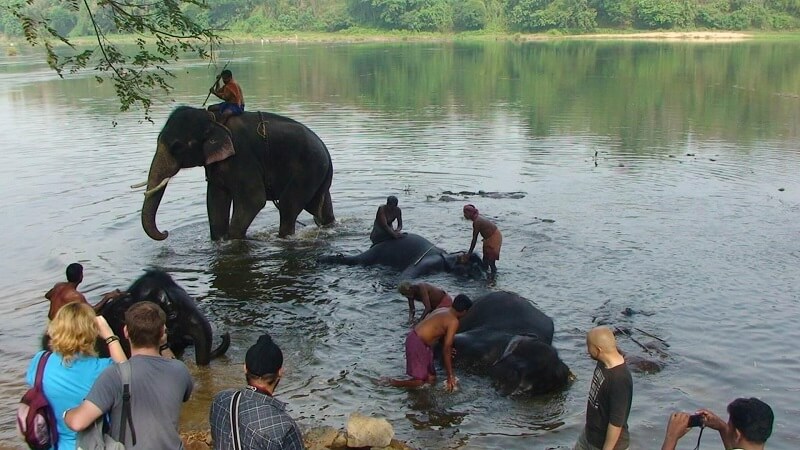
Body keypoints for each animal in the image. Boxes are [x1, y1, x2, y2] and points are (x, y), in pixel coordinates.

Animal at [141, 106, 335, 240]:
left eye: (176, 147)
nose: (165, 232)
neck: (214, 119)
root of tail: (325, 150)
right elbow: (215, 200)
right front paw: (220, 239)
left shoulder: (242, 156)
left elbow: (254, 199)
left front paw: (233, 239)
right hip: (318, 173)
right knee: (320, 207)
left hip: (308, 169)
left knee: (288, 205)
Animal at [319, 233, 486, 279]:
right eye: (474, 268)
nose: (481, 273)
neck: (447, 258)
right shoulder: (428, 262)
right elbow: (408, 274)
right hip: (372, 254)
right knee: (358, 260)